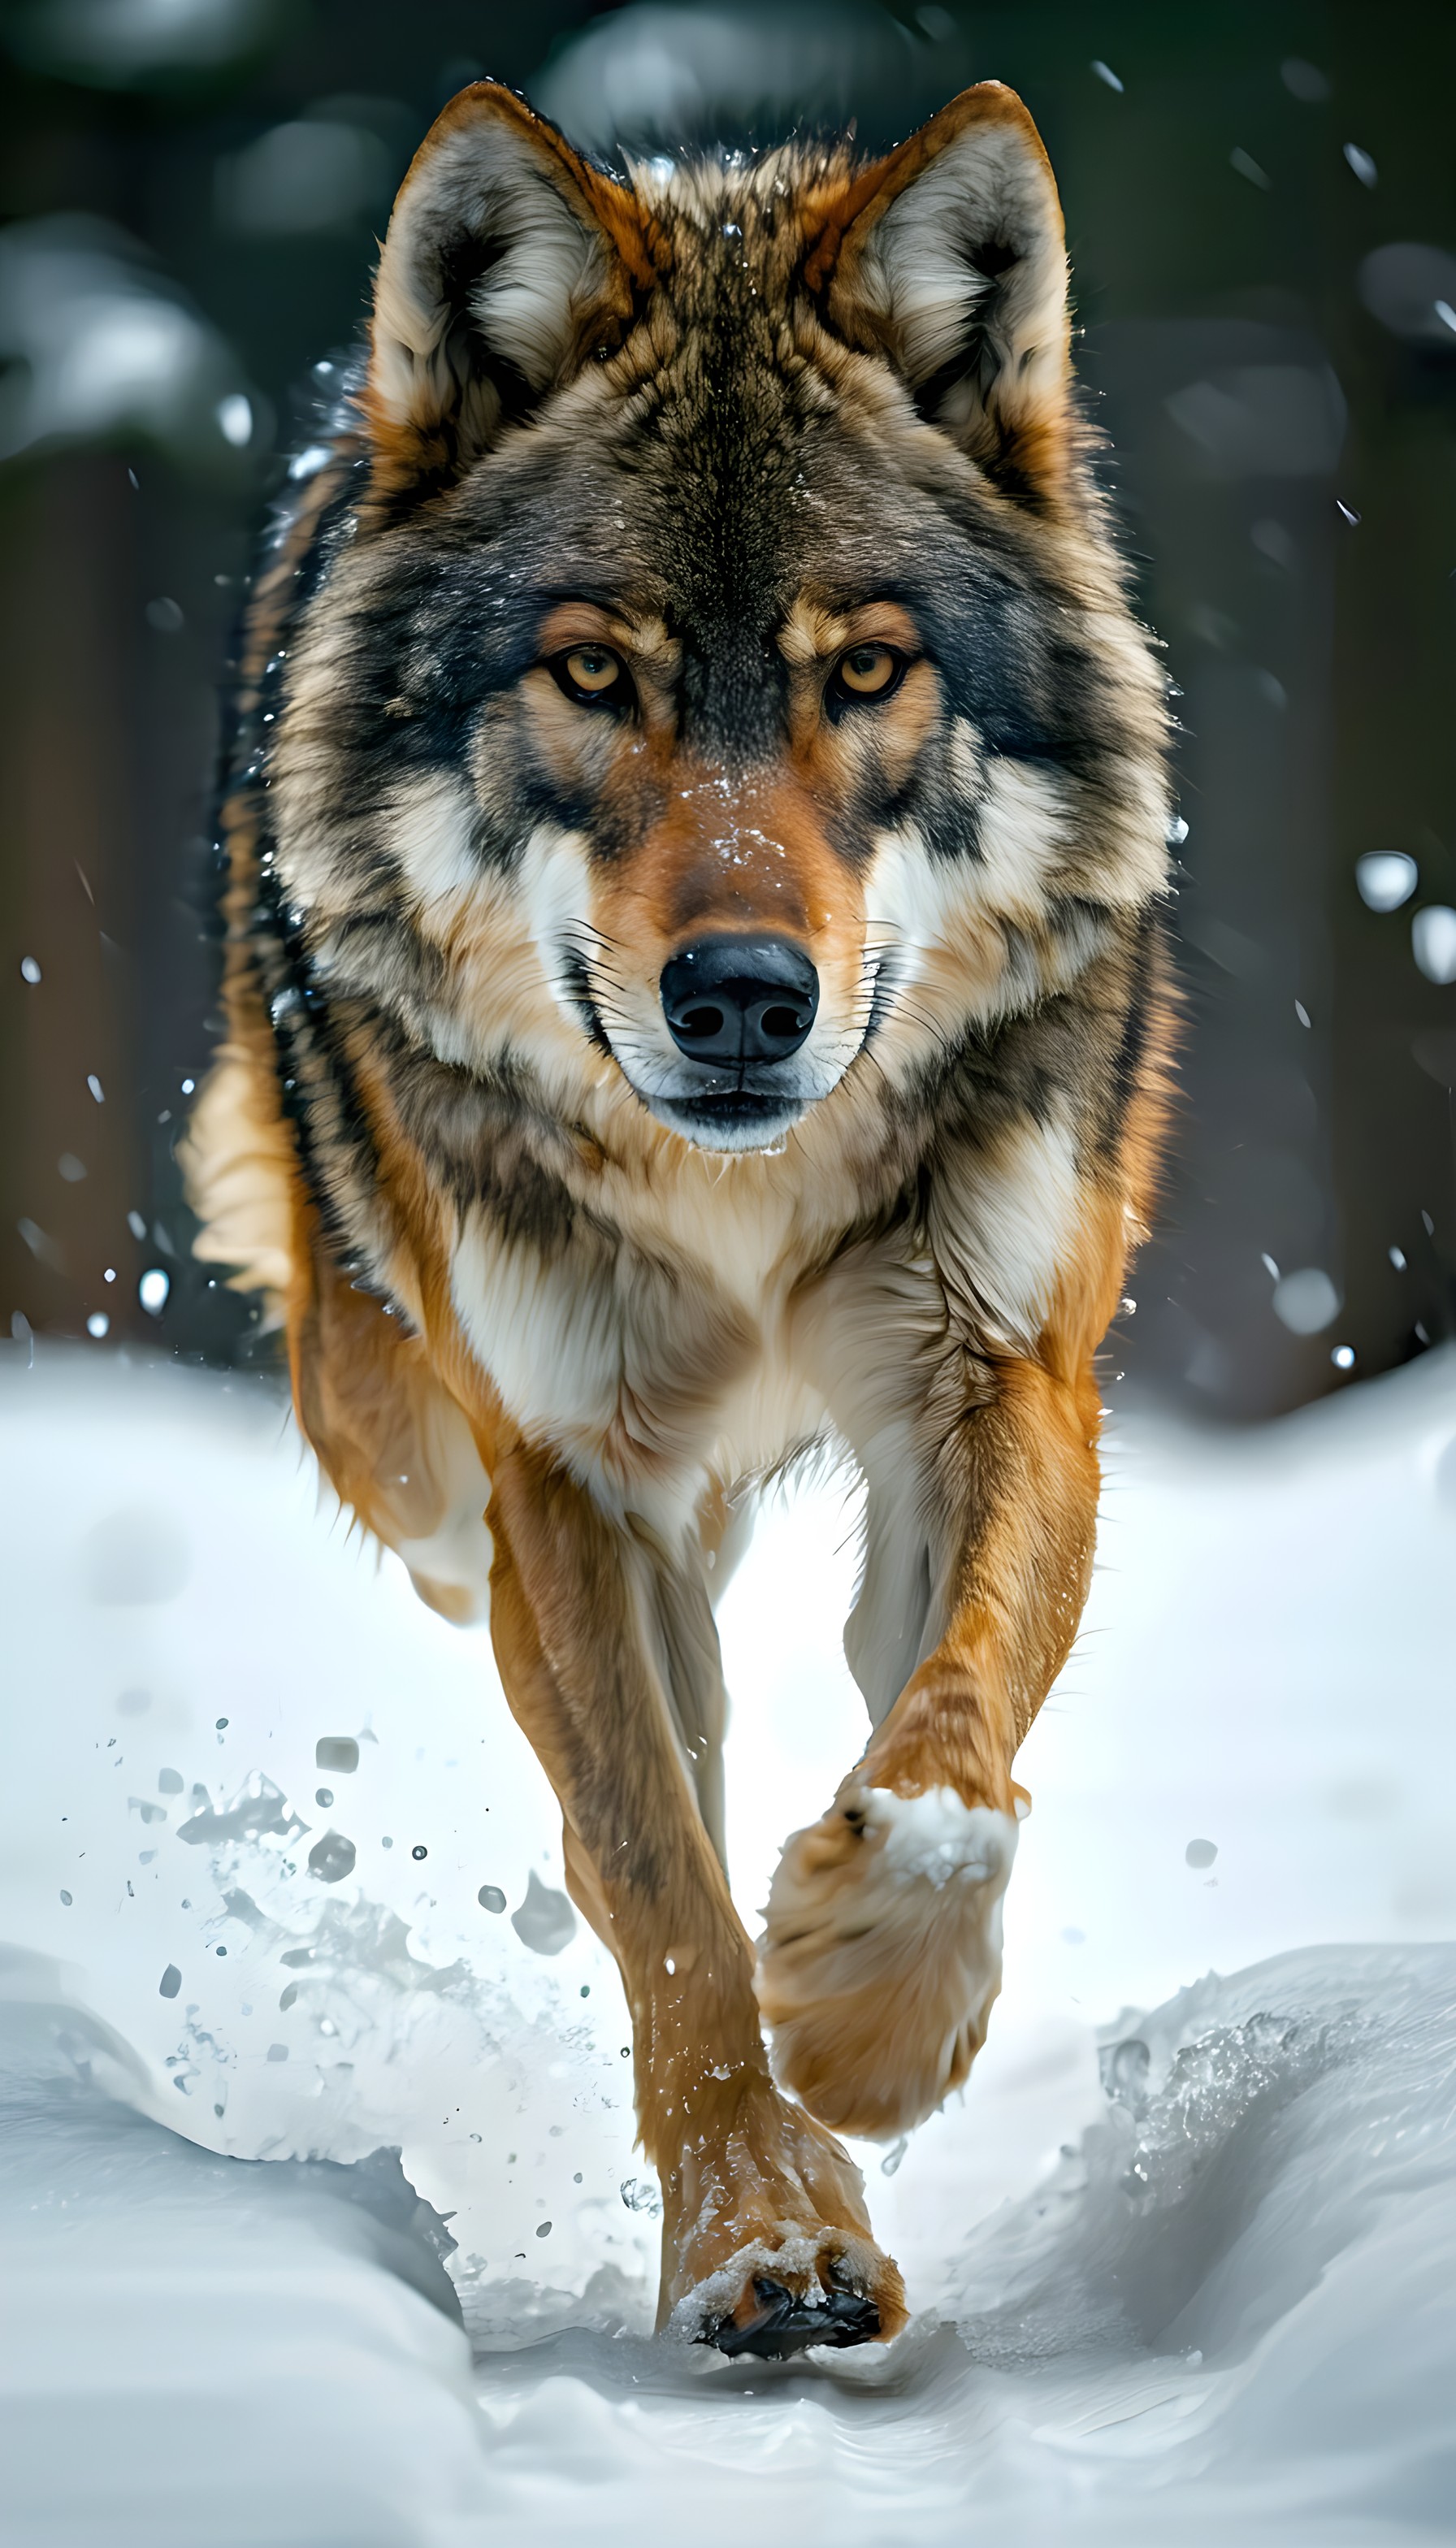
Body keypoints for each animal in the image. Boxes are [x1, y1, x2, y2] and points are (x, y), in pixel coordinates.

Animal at [185, 73, 1172, 2358]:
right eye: (592, 671)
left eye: (867, 669)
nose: (738, 995)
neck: (737, 1196)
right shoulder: (567, 1478)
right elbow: (654, 1888)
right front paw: (761, 2227)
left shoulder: (1006, 1382)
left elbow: (951, 1759)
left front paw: (874, 2025)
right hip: (408, 1442)